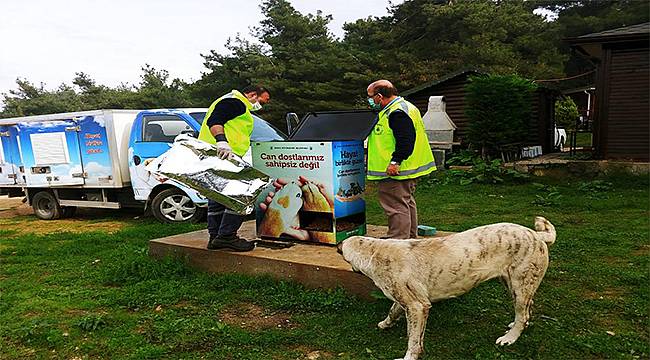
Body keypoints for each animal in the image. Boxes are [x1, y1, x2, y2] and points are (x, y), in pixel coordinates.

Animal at [336, 217, 556, 360]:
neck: (374, 251)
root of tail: (536, 235)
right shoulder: (407, 301)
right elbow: (393, 310)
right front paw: (385, 323)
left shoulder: (417, 307)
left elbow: (413, 340)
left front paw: (409, 357)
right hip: (513, 285)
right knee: (526, 309)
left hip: (520, 285)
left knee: (523, 314)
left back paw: (509, 338)